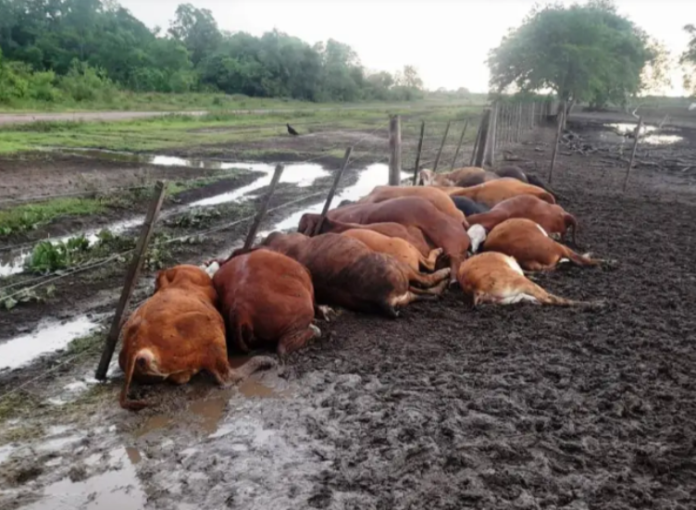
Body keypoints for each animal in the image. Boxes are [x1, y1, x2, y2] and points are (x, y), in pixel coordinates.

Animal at [260, 232, 451, 317]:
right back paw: (444, 271)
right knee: (427, 278)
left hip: (404, 294)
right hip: (400, 267)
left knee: (427, 292)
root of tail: (383, 299)